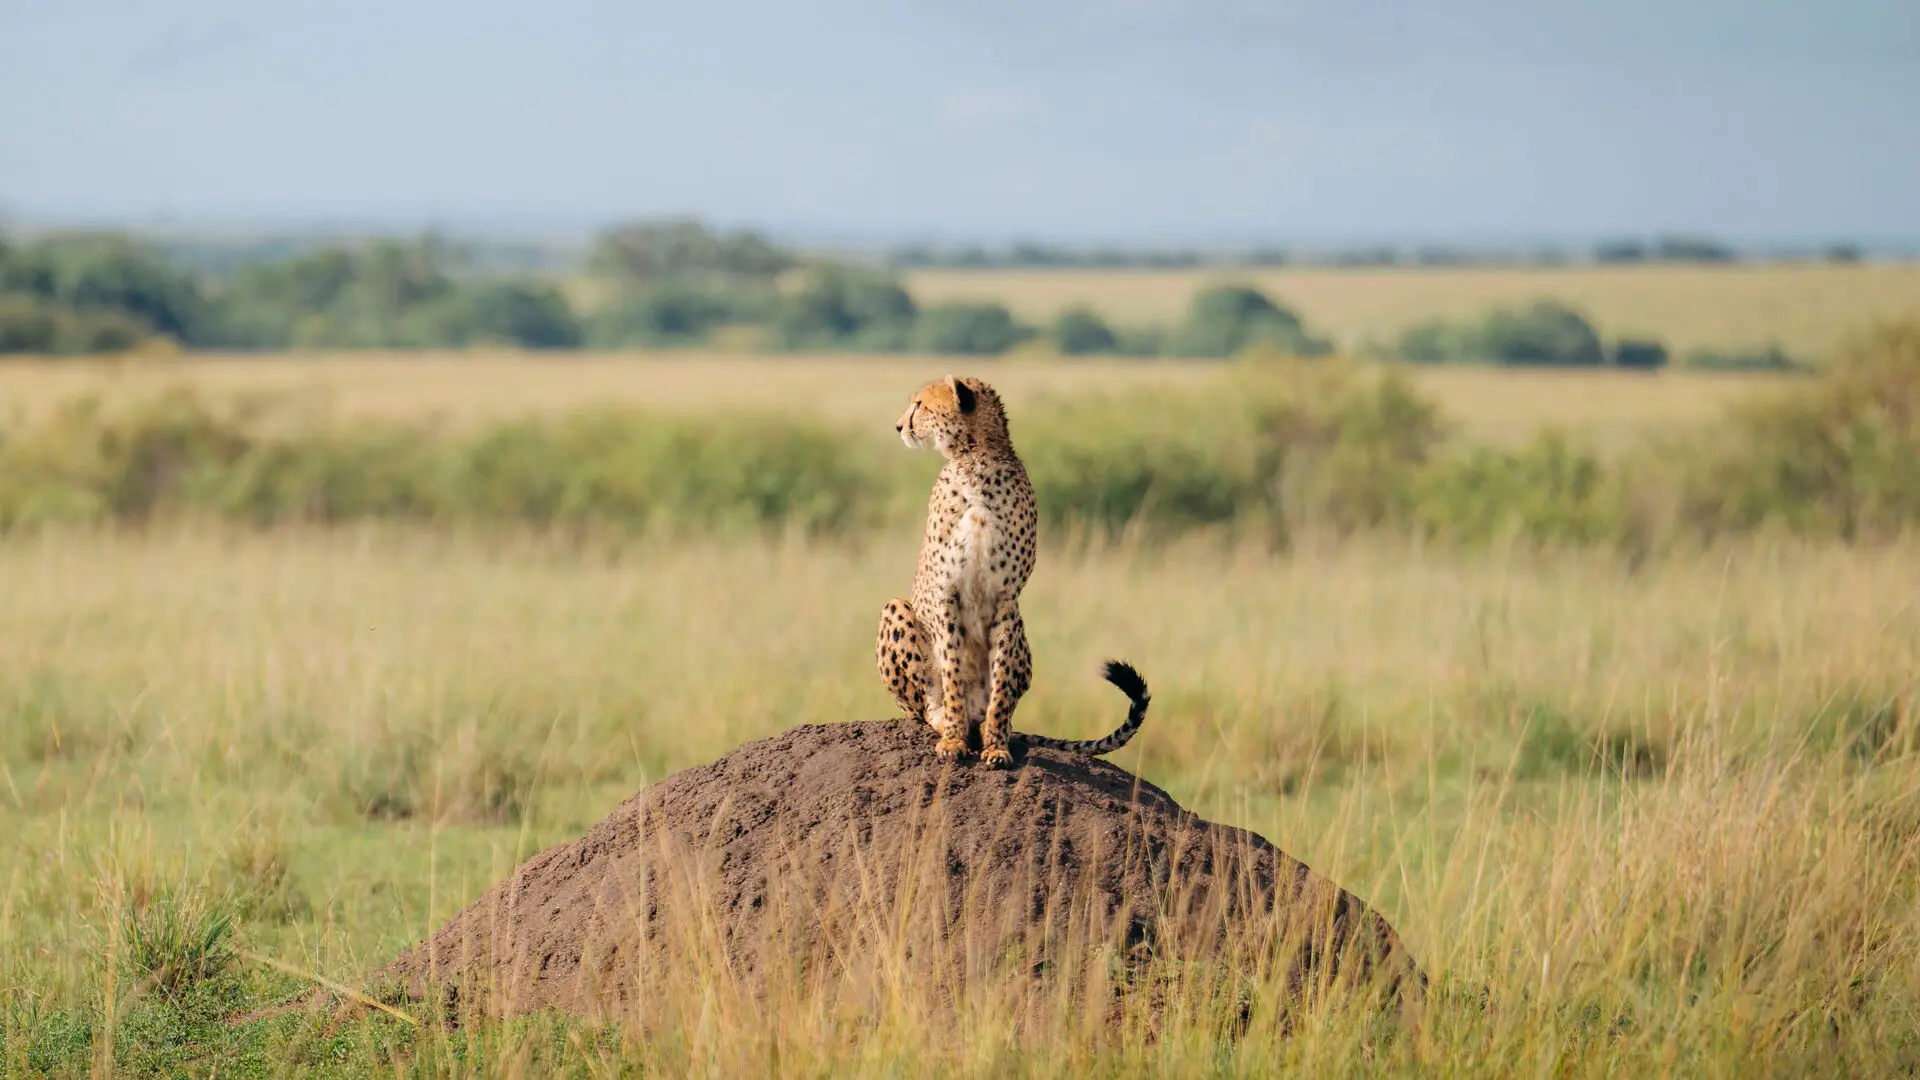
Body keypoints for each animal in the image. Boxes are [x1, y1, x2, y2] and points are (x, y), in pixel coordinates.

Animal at [875, 374, 1152, 768]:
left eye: (919, 405)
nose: (899, 426)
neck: (975, 461)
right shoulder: (946, 592)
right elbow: (952, 671)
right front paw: (953, 740)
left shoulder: (1006, 597)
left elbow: (1002, 675)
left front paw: (996, 746)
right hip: (896, 608)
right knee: (921, 705)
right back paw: (947, 721)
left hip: (1020, 622)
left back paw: (989, 727)